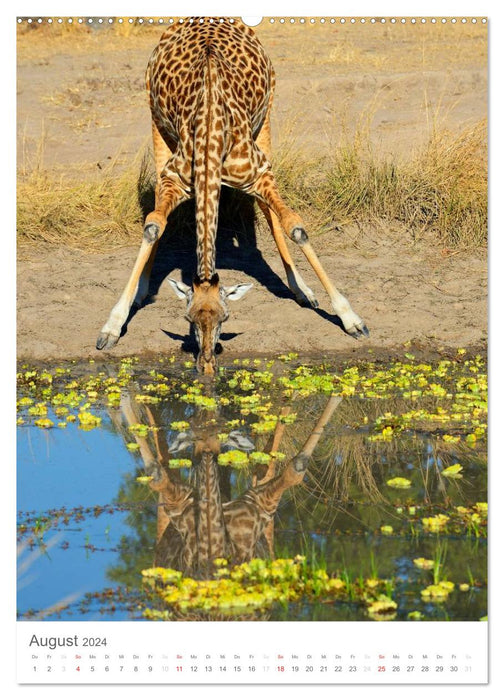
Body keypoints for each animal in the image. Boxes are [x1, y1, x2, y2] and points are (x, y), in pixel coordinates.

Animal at [96, 17, 368, 378]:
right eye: (188, 317)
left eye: (225, 317)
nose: (207, 366)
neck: (211, 127)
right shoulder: (173, 179)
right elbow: (153, 225)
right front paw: (113, 324)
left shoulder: (259, 172)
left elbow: (295, 226)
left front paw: (351, 319)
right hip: (156, 122)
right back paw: (142, 291)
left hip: (265, 119)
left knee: (268, 210)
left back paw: (302, 290)